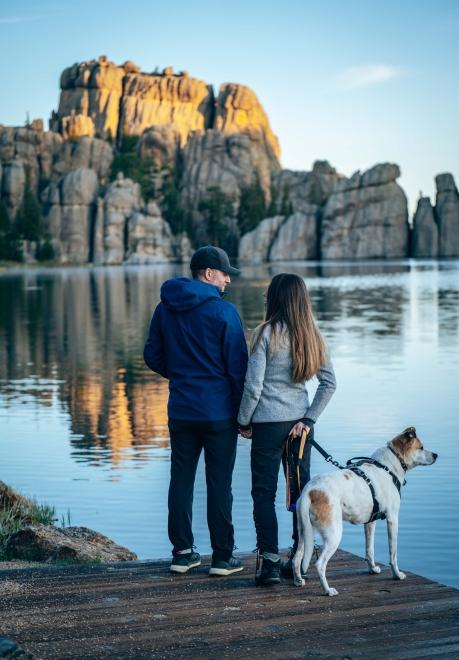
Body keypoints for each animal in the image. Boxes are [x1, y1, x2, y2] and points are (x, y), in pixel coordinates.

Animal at [294, 428, 438, 600]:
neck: (388, 466)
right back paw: (327, 590)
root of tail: (309, 491)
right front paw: (397, 574)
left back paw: (298, 581)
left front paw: (372, 569)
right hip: (333, 534)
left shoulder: (370, 522)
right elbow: (393, 554)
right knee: (319, 564)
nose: (436, 455)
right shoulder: (393, 519)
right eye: (421, 447)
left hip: (304, 533)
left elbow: (370, 549)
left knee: (296, 559)